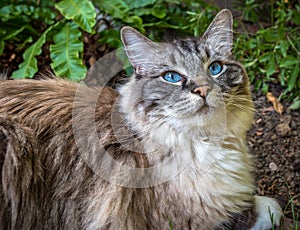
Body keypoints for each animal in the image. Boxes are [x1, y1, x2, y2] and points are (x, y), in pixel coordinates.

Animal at [0, 9, 282, 230]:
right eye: (172, 77)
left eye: (215, 68)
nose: (203, 89)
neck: (203, 142)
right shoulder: (186, 219)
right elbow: (251, 211)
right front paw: (269, 209)